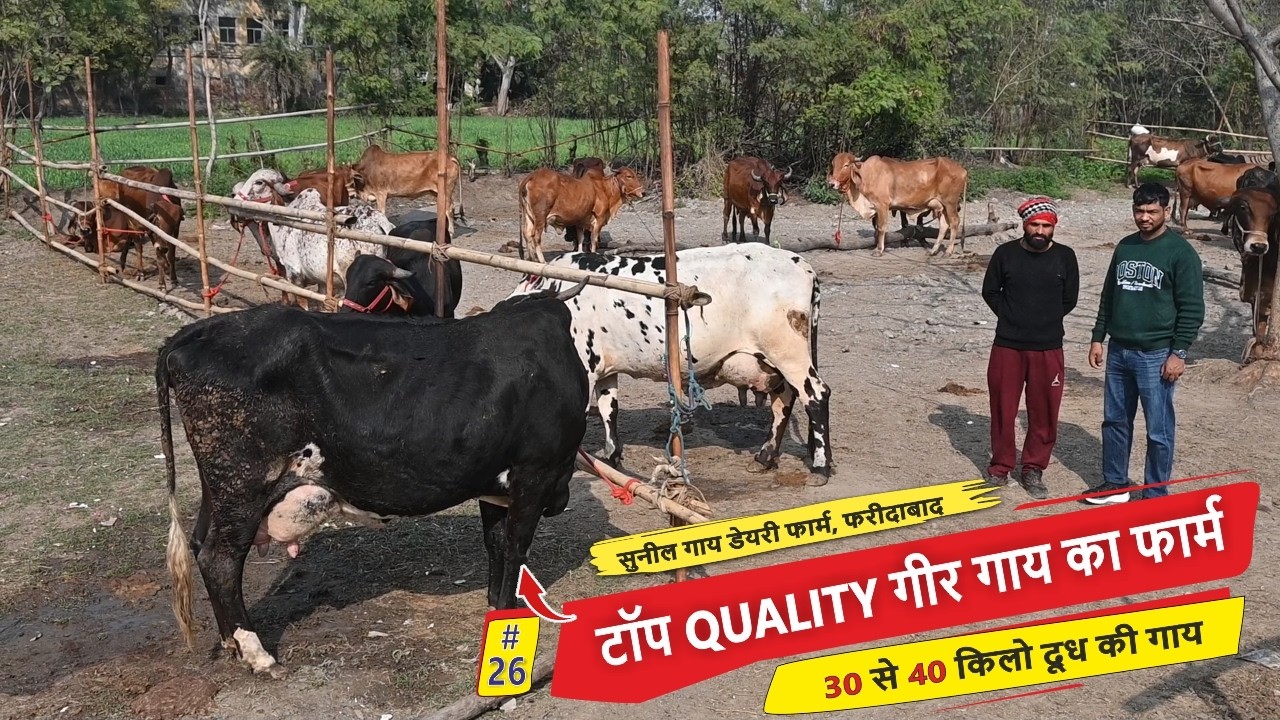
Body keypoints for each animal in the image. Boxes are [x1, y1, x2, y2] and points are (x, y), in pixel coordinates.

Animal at [156, 280, 590, 679]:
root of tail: (198, 331)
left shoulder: (494, 482)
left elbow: (497, 543)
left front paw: (495, 604)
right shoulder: (535, 473)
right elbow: (516, 548)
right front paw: (510, 611)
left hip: (219, 486)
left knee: (200, 543)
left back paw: (232, 643)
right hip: (243, 483)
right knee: (220, 560)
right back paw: (257, 653)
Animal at [507, 244, 834, 484]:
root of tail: (802, 265)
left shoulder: (585, 368)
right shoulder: (603, 368)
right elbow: (609, 408)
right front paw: (613, 456)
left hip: (787, 351)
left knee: (816, 396)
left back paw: (819, 466)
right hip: (773, 361)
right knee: (784, 401)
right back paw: (765, 457)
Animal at [517, 166, 646, 262]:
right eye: (629, 176)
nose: (643, 192)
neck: (605, 189)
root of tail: (531, 176)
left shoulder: (580, 221)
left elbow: (580, 240)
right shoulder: (599, 219)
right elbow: (593, 242)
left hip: (529, 215)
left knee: (527, 233)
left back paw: (532, 259)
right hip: (540, 216)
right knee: (536, 236)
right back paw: (542, 260)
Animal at [827, 152, 968, 257]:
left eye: (846, 165)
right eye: (833, 164)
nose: (832, 184)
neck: (867, 175)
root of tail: (963, 170)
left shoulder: (882, 205)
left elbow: (881, 228)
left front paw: (879, 250)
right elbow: (876, 229)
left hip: (950, 203)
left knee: (954, 222)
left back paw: (948, 252)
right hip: (941, 206)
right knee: (944, 225)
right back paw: (933, 251)